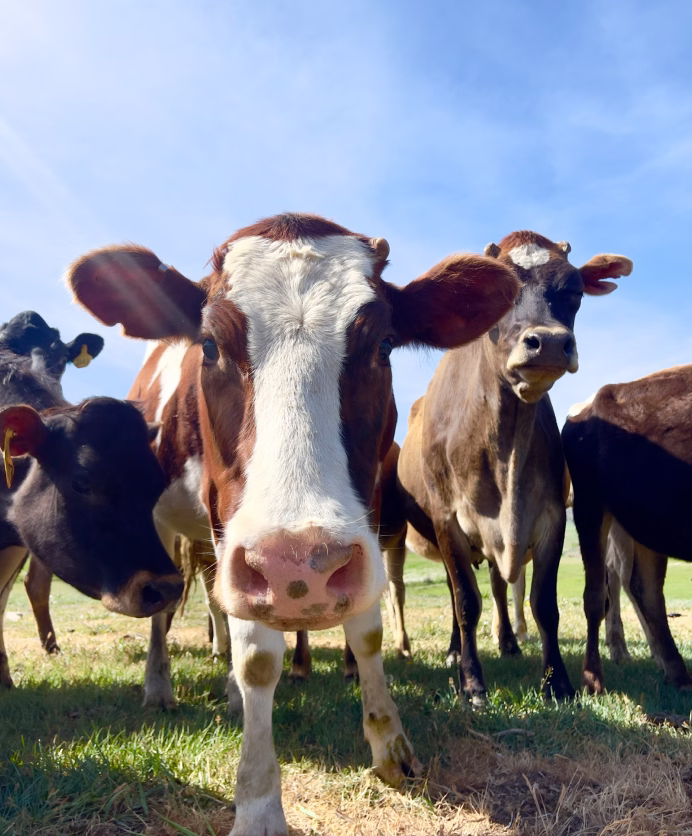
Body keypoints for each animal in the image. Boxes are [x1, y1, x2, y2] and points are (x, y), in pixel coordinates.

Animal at [66, 212, 520, 836]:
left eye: (383, 345)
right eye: (210, 345)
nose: (298, 567)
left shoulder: (366, 519)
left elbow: (366, 631)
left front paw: (390, 746)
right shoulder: (229, 529)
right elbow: (257, 655)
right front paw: (258, 803)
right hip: (169, 526)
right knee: (166, 607)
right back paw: (160, 684)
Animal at [392, 231, 632, 704]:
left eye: (574, 291)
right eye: (497, 294)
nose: (551, 342)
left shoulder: (551, 516)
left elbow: (544, 604)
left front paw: (557, 681)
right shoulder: (447, 520)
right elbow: (466, 602)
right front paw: (471, 683)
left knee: (501, 586)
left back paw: (507, 641)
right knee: (458, 592)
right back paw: (456, 651)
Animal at [563, 365, 692, 693]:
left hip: (647, 520)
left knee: (643, 588)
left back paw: (675, 671)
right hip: (591, 508)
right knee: (597, 595)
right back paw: (593, 678)